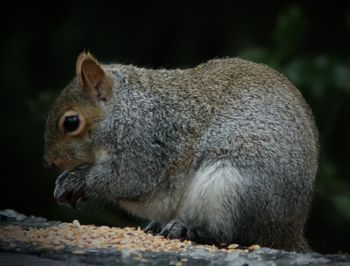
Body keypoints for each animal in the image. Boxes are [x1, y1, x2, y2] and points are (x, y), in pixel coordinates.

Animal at [43, 51, 318, 251]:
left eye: (71, 122)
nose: (50, 162)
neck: (124, 108)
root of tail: (288, 233)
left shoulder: (144, 143)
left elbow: (126, 179)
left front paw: (76, 181)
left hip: (233, 189)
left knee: (233, 236)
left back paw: (190, 231)